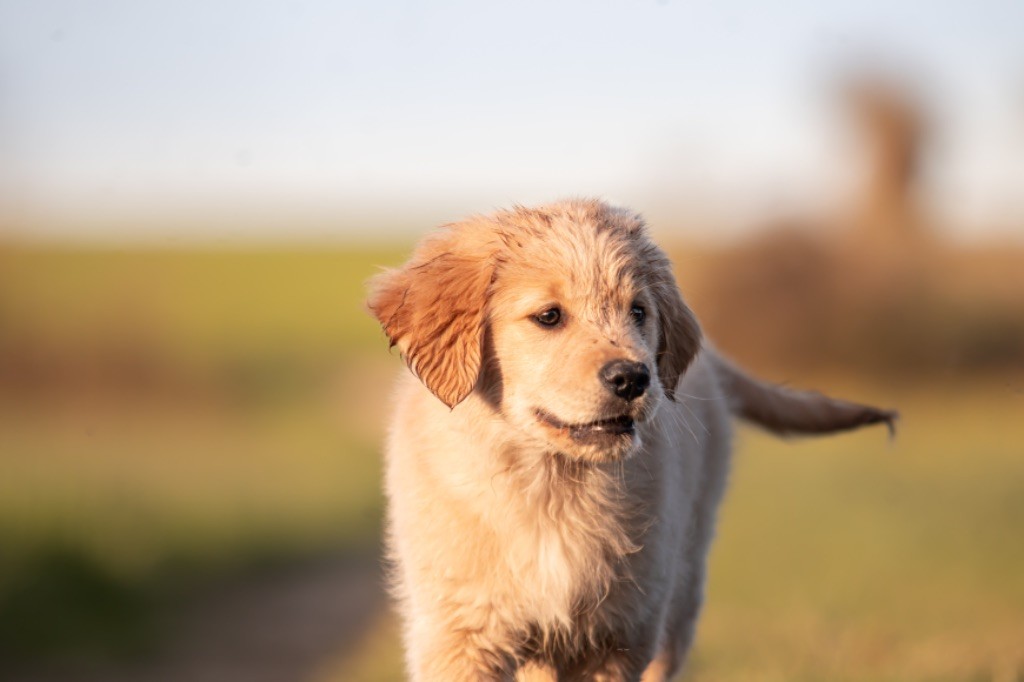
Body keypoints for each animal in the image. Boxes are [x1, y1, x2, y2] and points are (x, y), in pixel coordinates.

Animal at [368, 199, 897, 675]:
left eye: (638, 311)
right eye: (549, 316)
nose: (633, 379)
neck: (552, 484)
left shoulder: (620, 637)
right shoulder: (460, 636)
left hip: (678, 596)